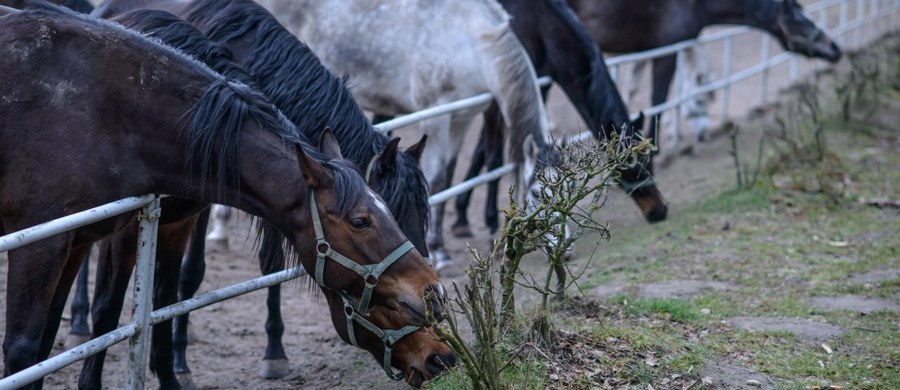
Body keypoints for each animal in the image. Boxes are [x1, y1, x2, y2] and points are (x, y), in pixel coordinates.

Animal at [0, 2, 446, 386]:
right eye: (361, 221)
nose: (434, 295)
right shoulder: (67, 239)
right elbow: (99, 316)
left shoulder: (182, 219)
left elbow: (169, 297)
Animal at [255, 0, 564, 268]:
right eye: (537, 193)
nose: (564, 248)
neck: (470, 39)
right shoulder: (437, 115)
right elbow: (437, 179)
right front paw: (440, 249)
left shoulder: (462, 118)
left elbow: (447, 176)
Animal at [568, 0, 844, 149]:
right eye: (800, 20)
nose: (835, 48)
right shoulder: (667, 50)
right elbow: (660, 99)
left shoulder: (648, 50)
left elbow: (634, 89)